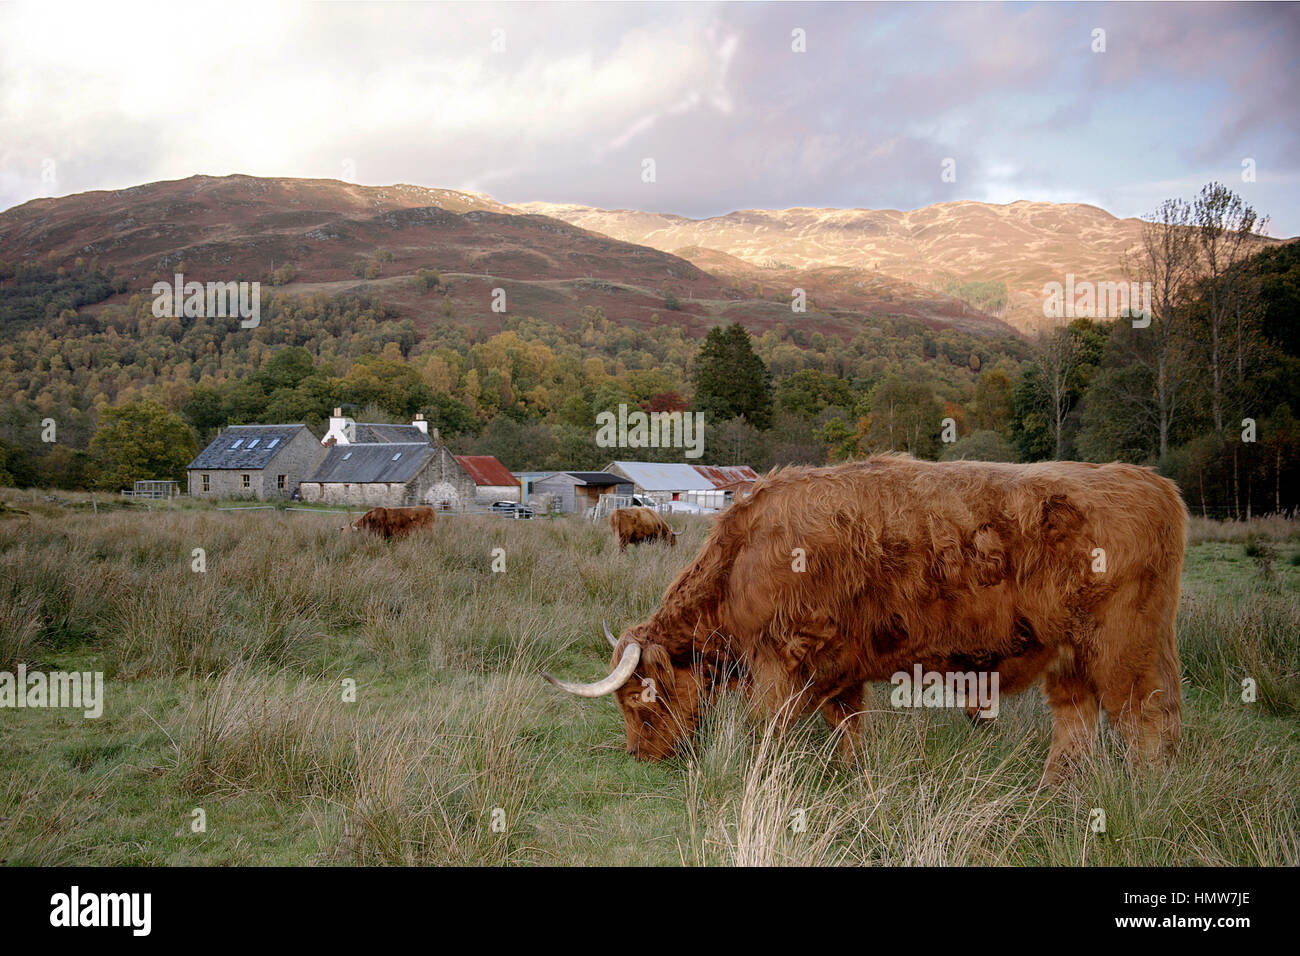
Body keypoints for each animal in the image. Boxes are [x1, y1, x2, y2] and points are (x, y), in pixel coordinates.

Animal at [545, 456, 1187, 785]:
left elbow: (767, 731)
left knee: (1146, 718)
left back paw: (1144, 793)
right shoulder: (839, 668)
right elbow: (849, 727)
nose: (639, 755)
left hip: (1122, 647)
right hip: (1069, 655)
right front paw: (854, 776)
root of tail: (1151, 480)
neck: (742, 558)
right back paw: (1055, 791)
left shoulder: (779, 662)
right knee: (1077, 721)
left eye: (639, 697)